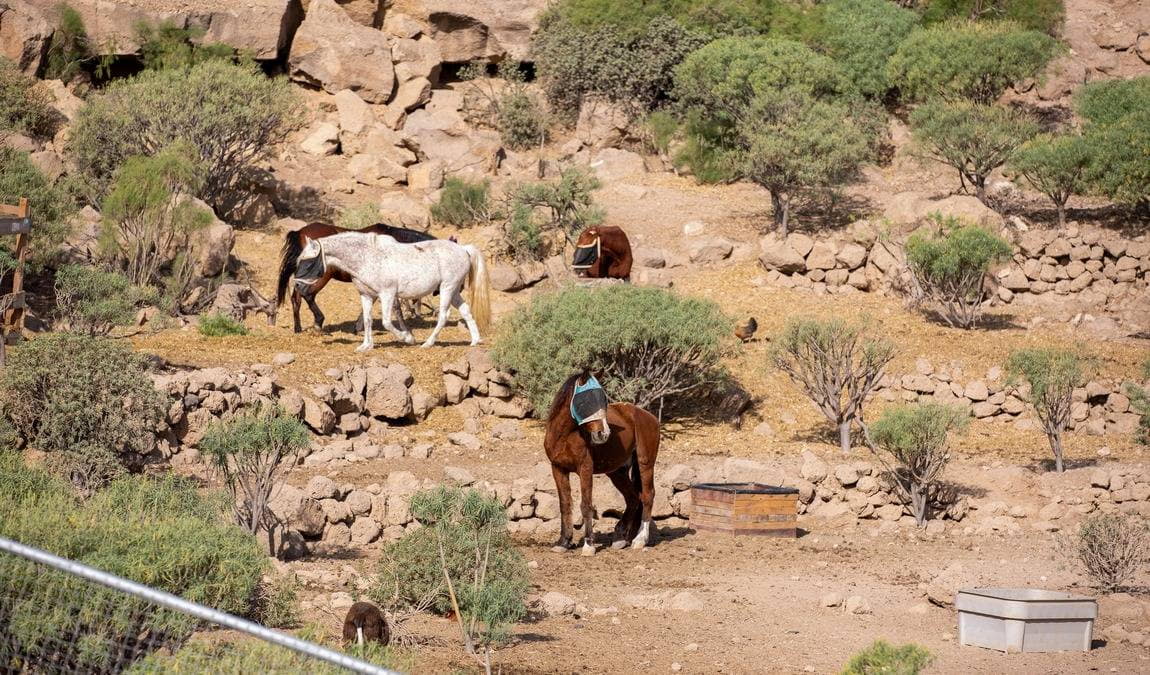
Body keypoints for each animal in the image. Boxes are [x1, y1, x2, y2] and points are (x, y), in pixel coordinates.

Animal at [275, 222, 438, 333]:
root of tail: (300, 232)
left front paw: (359, 326)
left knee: (296, 297)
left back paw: (298, 328)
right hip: (321, 277)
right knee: (307, 294)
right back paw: (318, 322)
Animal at [295, 231, 491, 350]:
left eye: (308, 262)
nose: (298, 286)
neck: (367, 258)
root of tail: (463, 249)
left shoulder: (387, 294)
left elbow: (387, 322)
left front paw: (407, 338)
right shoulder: (366, 296)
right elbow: (367, 320)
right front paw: (366, 346)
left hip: (447, 288)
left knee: (443, 315)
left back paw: (427, 343)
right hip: (454, 291)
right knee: (466, 311)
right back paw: (475, 340)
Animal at [543, 372, 661, 555]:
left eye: (603, 400)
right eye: (586, 400)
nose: (603, 434)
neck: (564, 436)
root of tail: (649, 417)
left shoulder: (585, 469)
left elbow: (586, 505)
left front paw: (588, 545)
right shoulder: (558, 469)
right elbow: (564, 505)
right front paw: (563, 542)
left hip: (645, 464)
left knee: (648, 495)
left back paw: (640, 540)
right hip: (617, 472)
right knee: (633, 497)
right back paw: (621, 538)